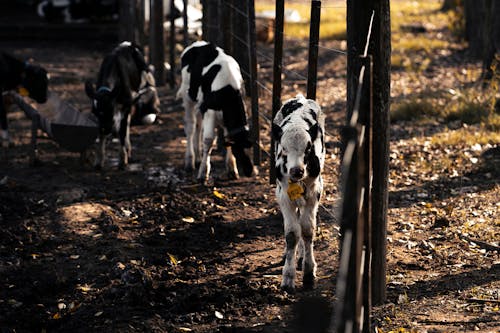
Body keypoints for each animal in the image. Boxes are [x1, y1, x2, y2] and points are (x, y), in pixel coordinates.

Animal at [84, 40, 160, 169]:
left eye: (110, 109)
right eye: (94, 112)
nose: (105, 129)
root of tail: (129, 44)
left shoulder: (126, 105)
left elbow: (122, 132)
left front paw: (122, 161)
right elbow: (101, 136)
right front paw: (98, 162)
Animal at [176, 40, 256, 184]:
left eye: (250, 147)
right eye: (238, 149)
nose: (249, 171)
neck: (228, 90)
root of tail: (199, 43)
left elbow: (226, 136)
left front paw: (232, 169)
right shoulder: (210, 110)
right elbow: (208, 140)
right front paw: (203, 173)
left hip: (200, 103)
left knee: (198, 126)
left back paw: (198, 157)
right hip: (188, 95)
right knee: (190, 127)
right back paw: (190, 161)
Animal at [272, 93, 326, 290]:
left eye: (308, 148)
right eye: (284, 149)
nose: (297, 171)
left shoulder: (314, 193)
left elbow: (308, 230)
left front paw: (309, 272)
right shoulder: (283, 196)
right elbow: (292, 233)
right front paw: (288, 277)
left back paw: (302, 256)